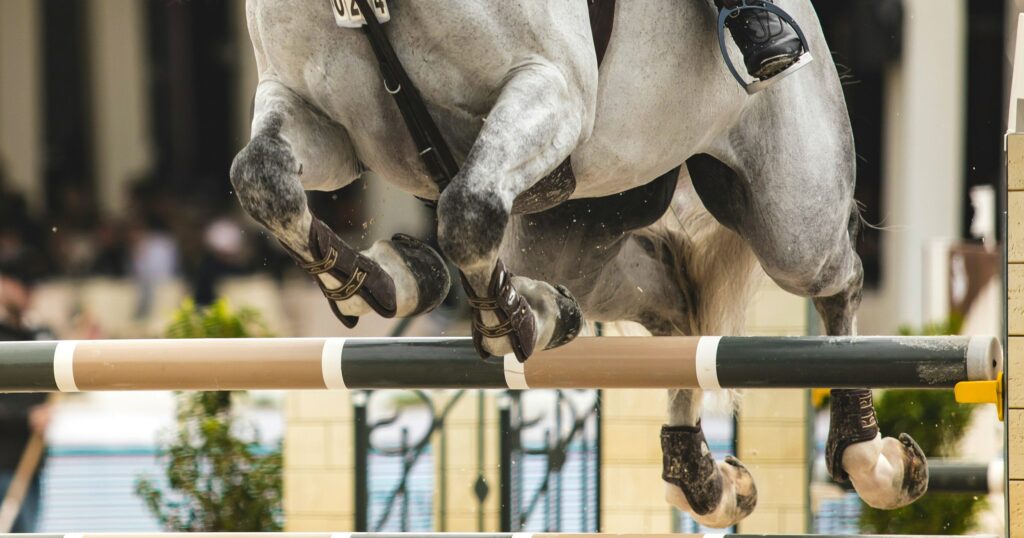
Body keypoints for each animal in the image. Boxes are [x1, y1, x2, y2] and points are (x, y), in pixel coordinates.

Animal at [230, 0, 927, 527]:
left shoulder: (548, 86)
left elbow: (468, 208)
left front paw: (501, 315)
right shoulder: (317, 115)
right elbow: (263, 178)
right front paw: (394, 281)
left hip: (791, 216)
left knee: (837, 278)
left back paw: (870, 459)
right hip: (580, 226)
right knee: (674, 308)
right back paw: (700, 476)